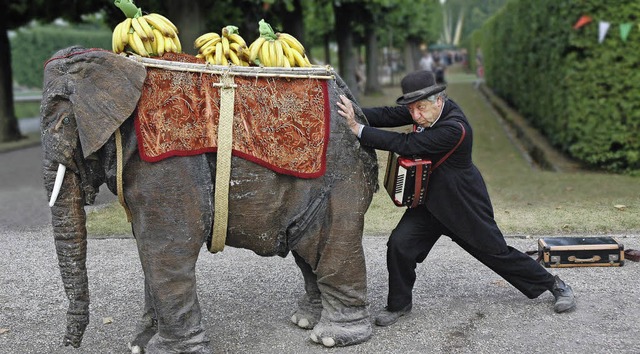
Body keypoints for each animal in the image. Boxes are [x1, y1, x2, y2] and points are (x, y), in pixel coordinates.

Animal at [40, 45, 378, 352]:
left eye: (64, 123)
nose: (69, 345)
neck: (120, 63)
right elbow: (147, 245)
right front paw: (139, 345)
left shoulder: (168, 160)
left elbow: (167, 244)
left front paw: (167, 350)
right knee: (307, 250)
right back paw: (306, 320)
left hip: (342, 174)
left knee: (331, 243)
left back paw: (330, 337)